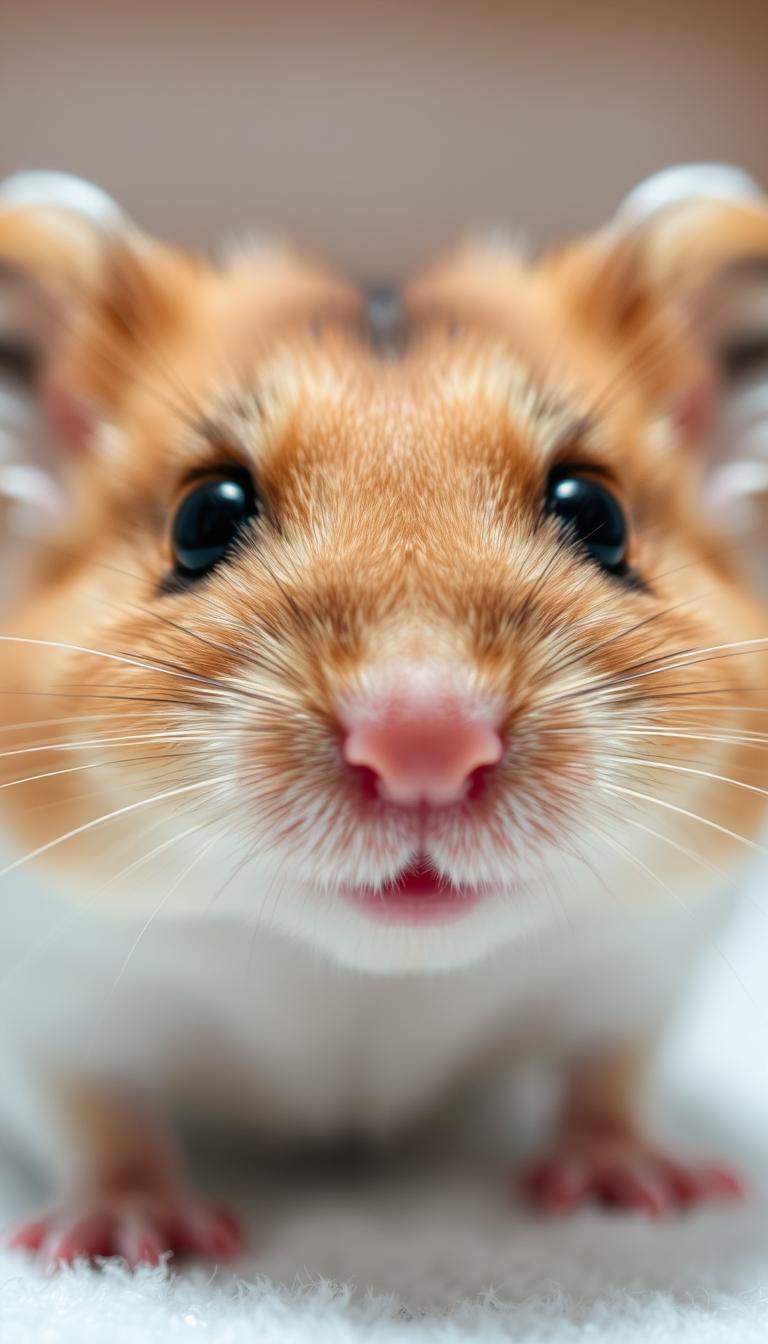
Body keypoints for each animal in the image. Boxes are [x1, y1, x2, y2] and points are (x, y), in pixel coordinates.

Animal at [0, 165, 765, 1265]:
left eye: (599, 513)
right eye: (202, 518)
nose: (424, 747)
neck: (369, 982)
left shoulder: (644, 965)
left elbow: (610, 1071)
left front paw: (648, 1190)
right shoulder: (48, 1007)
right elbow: (96, 1113)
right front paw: (132, 1238)